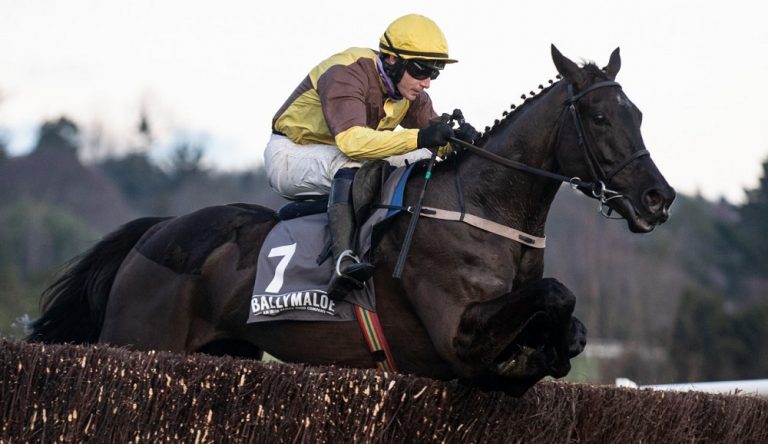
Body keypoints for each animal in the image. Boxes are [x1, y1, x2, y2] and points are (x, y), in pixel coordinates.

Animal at [27, 45, 675, 396]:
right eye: (599, 116)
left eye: (639, 114)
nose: (658, 197)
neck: (485, 210)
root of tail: (156, 231)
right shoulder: (457, 337)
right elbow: (556, 294)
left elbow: (571, 327)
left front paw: (550, 346)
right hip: (139, 341)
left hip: (224, 352)